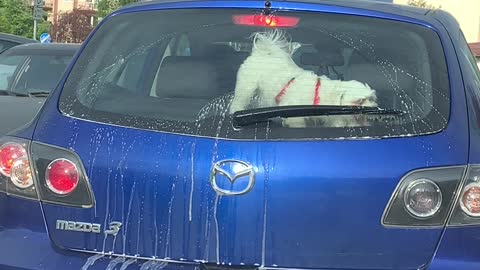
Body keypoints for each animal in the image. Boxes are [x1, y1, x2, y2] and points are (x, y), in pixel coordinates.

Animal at [230, 29, 378, 127]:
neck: (320, 95)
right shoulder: (294, 116)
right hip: (247, 86)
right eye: (360, 101)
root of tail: (262, 52)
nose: (374, 110)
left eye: (372, 99)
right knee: (239, 99)